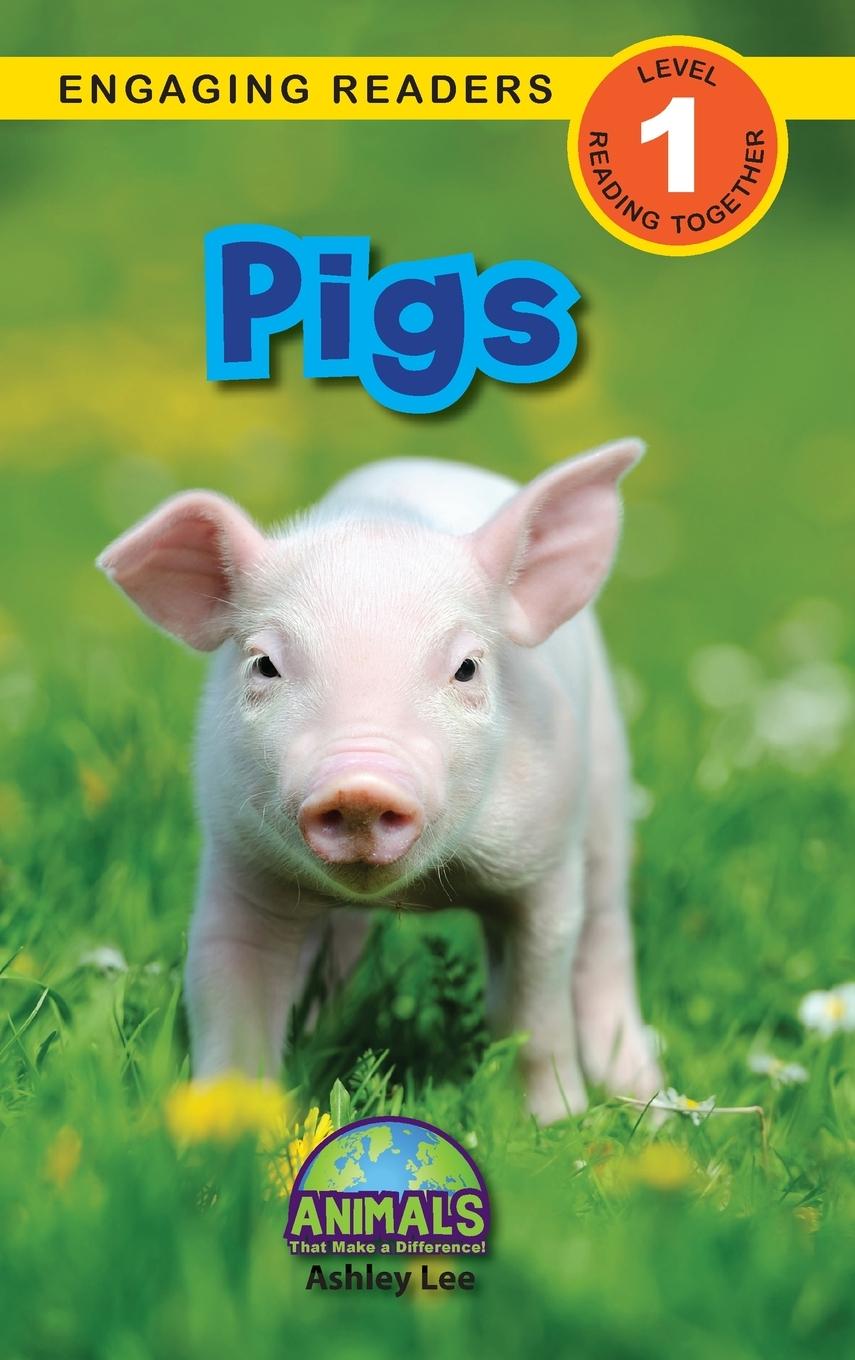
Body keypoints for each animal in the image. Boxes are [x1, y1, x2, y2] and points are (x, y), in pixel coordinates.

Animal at [97, 441, 663, 1123]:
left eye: (467, 668)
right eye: (265, 664)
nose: (360, 786)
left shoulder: (542, 863)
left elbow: (533, 1007)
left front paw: (552, 1125)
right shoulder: (240, 860)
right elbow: (228, 986)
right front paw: (232, 1128)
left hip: (604, 782)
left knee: (605, 932)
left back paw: (647, 1096)